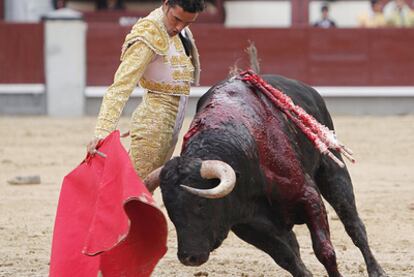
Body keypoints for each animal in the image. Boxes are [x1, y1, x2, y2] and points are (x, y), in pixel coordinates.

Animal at [154, 74, 386, 274]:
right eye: (170, 209)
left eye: (201, 203)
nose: (189, 258)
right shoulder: (248, 226)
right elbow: (287, 258)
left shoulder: (308, 196)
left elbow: (324, 250)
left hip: (332, 171)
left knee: (354, 225)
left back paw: (377, 270)